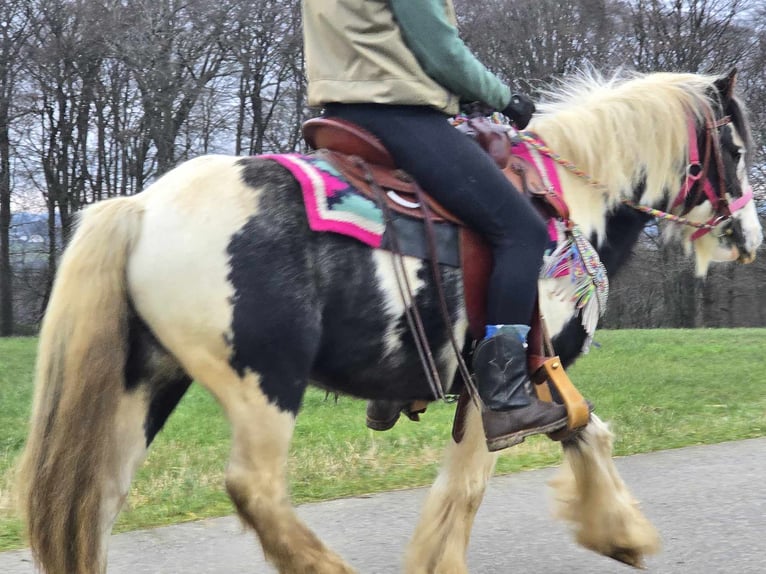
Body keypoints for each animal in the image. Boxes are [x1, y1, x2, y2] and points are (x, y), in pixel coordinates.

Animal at [16, 68, 760, 574]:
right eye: (737, 148)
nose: (749, 236)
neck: (570, 199)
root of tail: (142, 207)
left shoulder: (536, 381)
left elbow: (589, 435)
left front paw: (622, 535)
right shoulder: (506, 387)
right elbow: (469, 485)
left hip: (149, 382)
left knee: (96, 500)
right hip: (264, 383)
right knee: (255, 490)